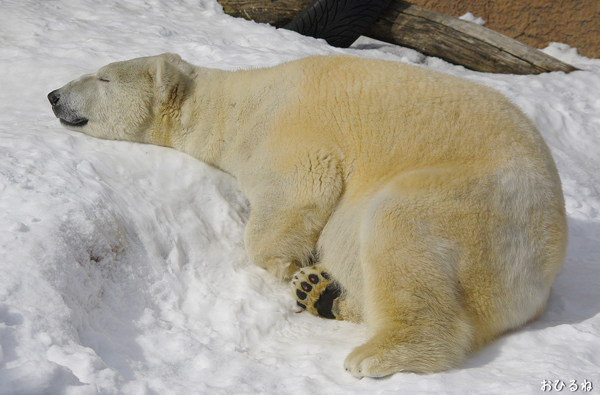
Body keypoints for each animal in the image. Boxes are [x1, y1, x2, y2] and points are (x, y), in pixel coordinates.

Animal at [48, 52, 568, 378]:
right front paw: (302, 275)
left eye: (103, 78)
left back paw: (372, 351)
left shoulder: (287, 133)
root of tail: (543, 272)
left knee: (398, 229)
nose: (53, 94)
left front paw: (284, 265)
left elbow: (300, 189)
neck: (237, 104)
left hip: (472, 205)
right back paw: (323, 292)